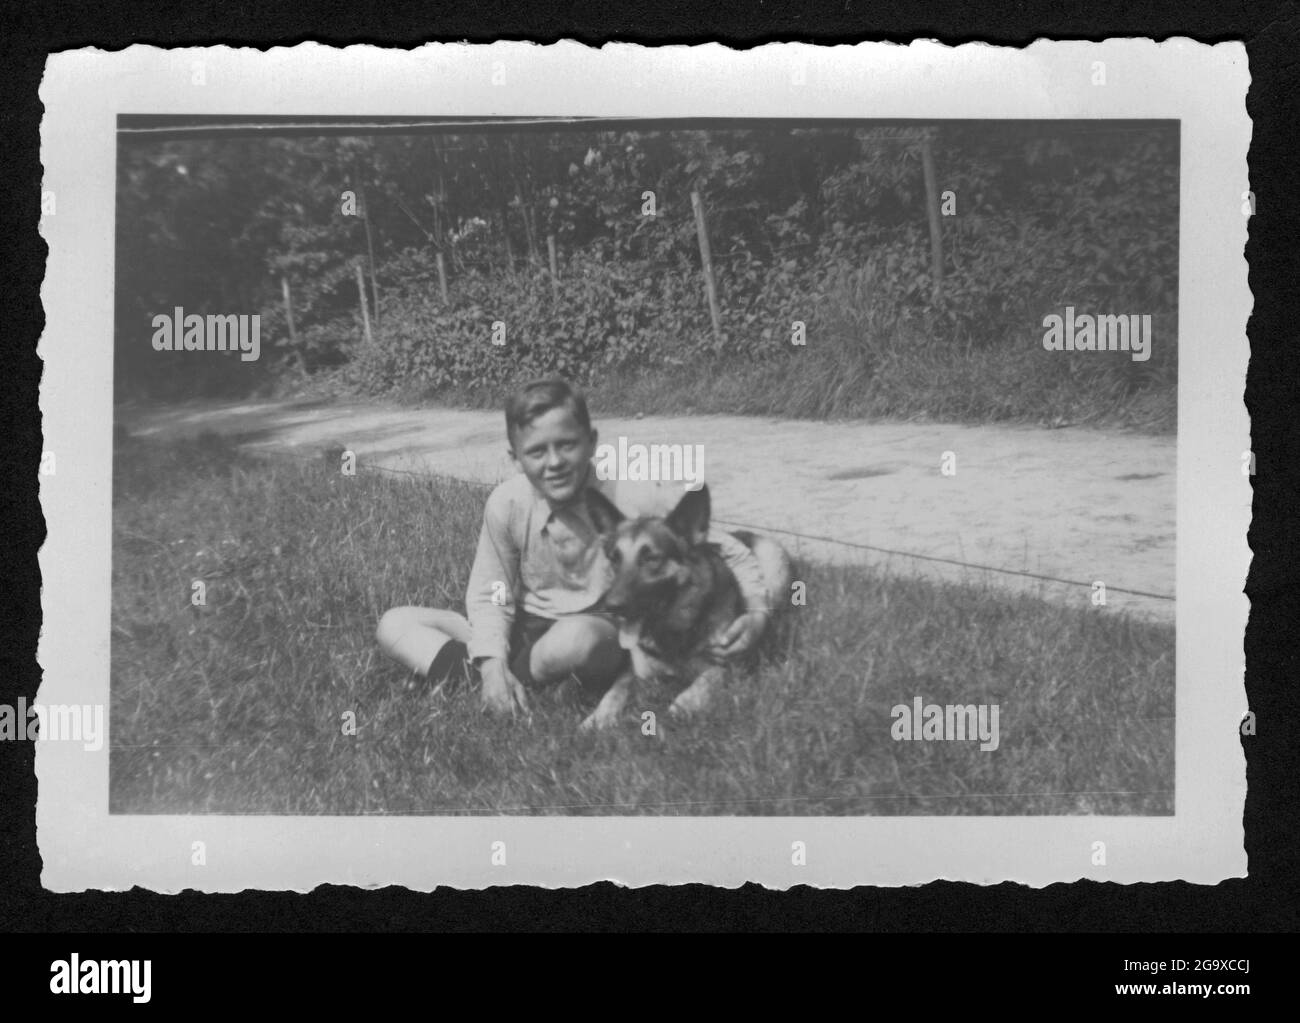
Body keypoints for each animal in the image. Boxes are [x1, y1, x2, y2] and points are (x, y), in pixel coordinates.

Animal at [582, 486, 790, 733]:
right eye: (615, 559)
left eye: (651, 558)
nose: (611, 606)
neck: (673, 632)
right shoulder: (633, 671)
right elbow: (615, 691)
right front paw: (598, 717)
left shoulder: (728, 666)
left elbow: (704, 682)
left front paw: (680, 709)